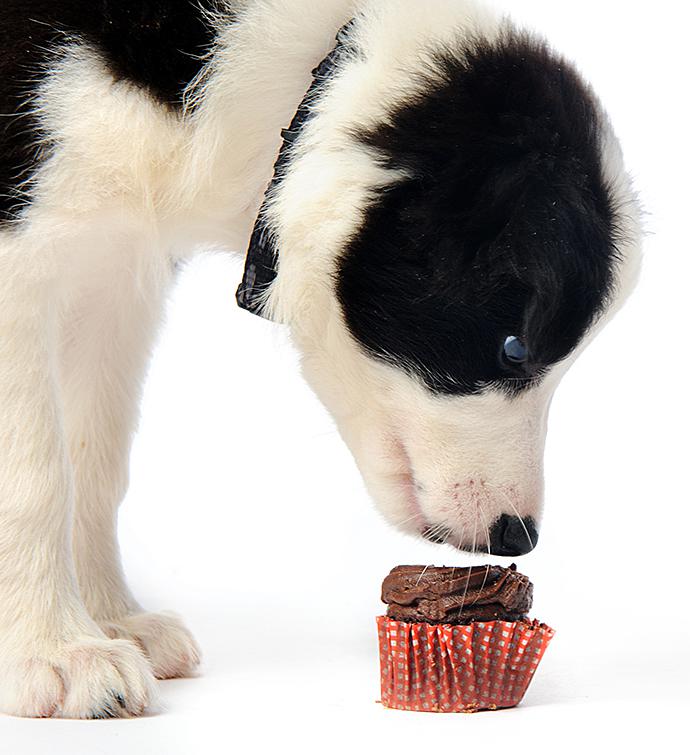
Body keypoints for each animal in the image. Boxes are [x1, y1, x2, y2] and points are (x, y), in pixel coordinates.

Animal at [0, 0, 640, 720]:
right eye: (514, 349)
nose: (517, 537)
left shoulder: (118, 270)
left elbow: (94, 461)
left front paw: (114, 621)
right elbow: (37, 477)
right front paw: (57, 651)